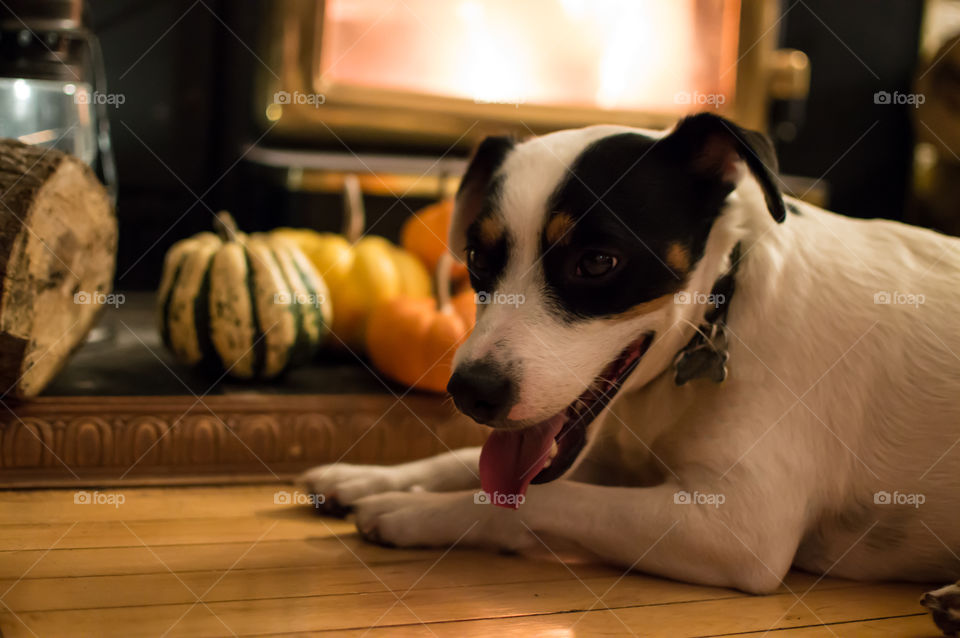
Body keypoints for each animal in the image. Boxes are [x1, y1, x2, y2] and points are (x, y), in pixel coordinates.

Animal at [300, 114, 960, 596]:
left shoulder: (737, 527)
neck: (722, 307)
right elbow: (466, 461)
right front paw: (365, 477)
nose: (470, 392)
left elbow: (531, 498)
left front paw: (406, 510)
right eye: (477, 258)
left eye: (597, 262)